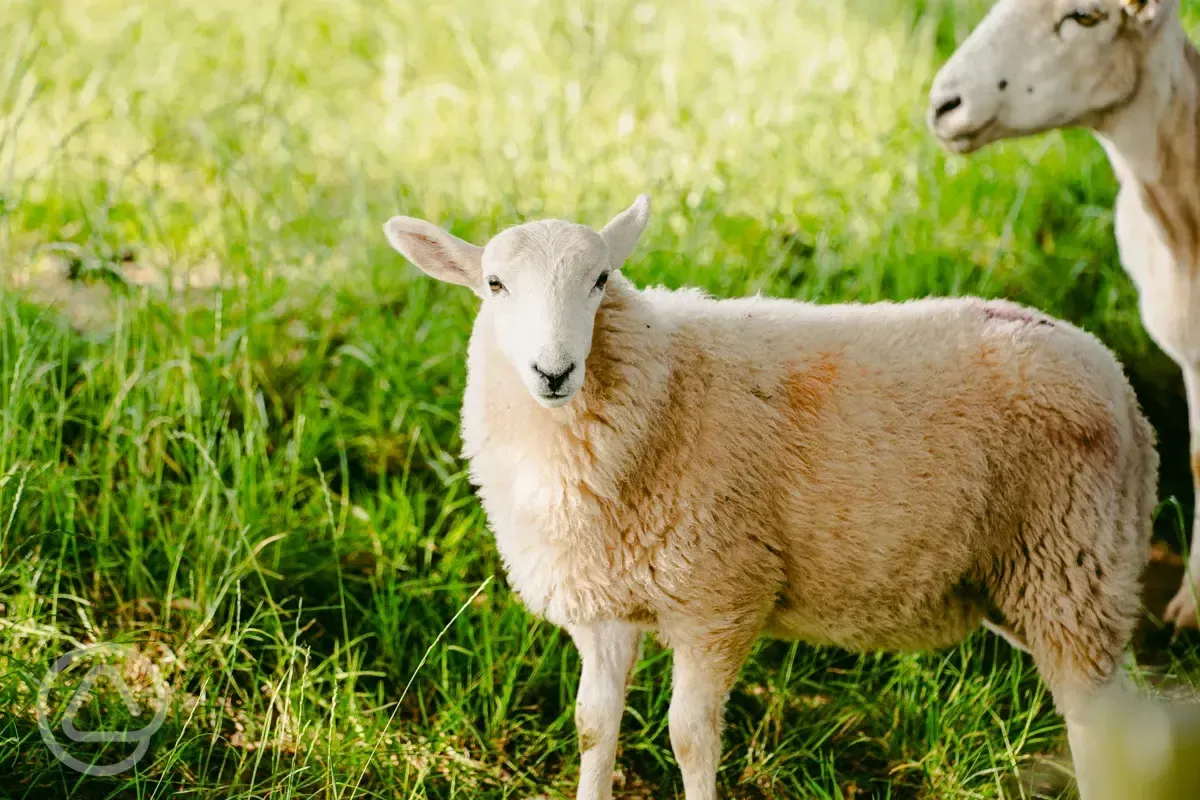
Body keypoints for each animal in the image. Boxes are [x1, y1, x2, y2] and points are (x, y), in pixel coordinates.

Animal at [386, 195, 1161, 800]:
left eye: (601, 279)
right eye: (494, 284)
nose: (554, 371)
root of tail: (1120, 384)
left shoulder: (719, 596)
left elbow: (690, 738)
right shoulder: (606, 602)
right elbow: (592, 729)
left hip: (1072, 569)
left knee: (1103, 730)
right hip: (1038, 584)